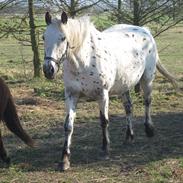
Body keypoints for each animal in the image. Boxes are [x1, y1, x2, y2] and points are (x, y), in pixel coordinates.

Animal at [42, 12, 177, 171]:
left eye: (63, 38)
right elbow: (68, 126)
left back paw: (149, 130)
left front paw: (105, 150)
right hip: (124, 85)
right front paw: (64, 160)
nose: (48, 70)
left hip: (147, 79)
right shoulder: (71, 95)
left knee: (147, 102)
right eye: (43, 37)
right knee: (128, 108)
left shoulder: (102, 94)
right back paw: (129, 137)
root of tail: (144, 30)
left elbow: (104, 121)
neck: (84, 61)